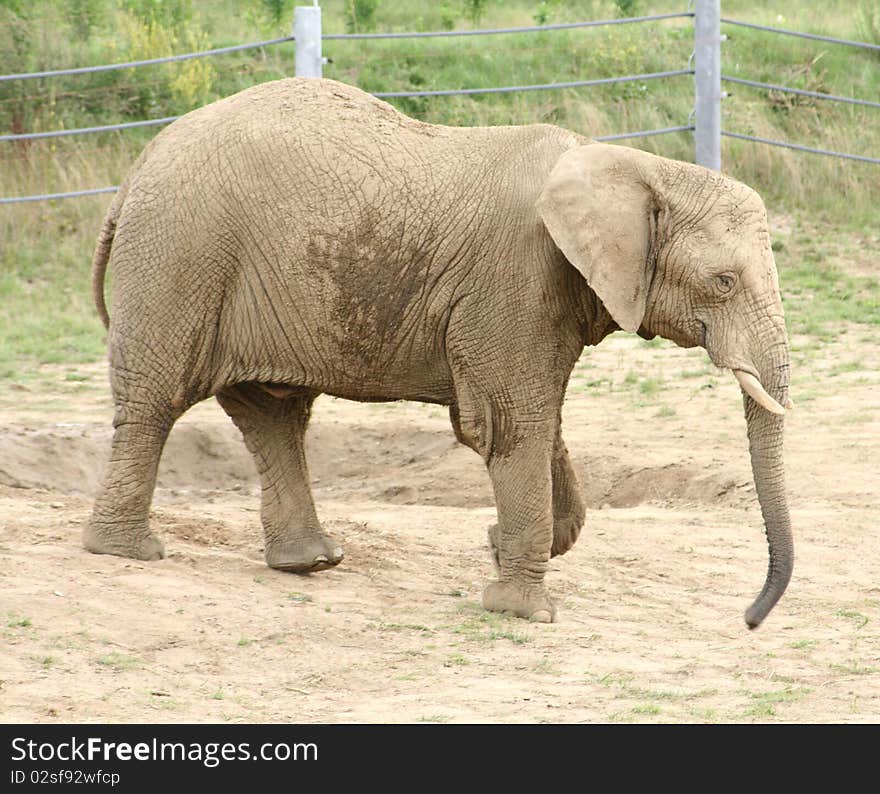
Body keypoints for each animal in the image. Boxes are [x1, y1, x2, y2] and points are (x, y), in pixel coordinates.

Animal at [86, 77, 796, 628]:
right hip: (181, 253)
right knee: (157, 400)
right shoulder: (514, 278)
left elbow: (541, 423)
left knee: (273, 413)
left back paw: (309, 562)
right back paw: (126, 553)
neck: (634, 167)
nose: (748, 619)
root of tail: (137, 168)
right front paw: (522, 611)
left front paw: (499, 547)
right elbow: (510, 423)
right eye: (724, 282)